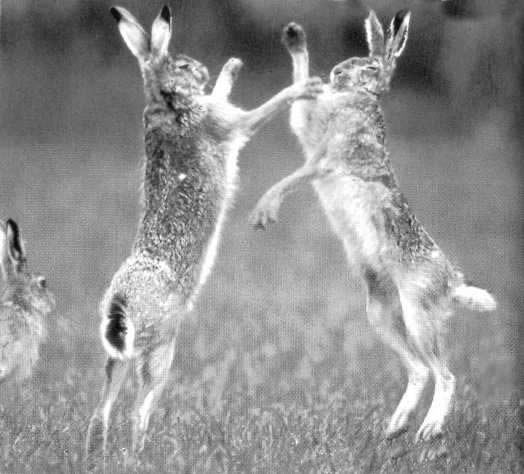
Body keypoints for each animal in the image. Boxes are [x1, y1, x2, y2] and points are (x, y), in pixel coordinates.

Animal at [85, 5, 323, 465]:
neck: (165, 100)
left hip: (118, 358)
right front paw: (305, 86)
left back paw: (97, 456)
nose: (201, 69)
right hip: (161, 349)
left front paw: (232, 67)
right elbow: (260, 110)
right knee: (138, 412)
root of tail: (120, 306)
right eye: (180, 65)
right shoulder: (228, 122)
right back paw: (141, 456)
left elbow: (225, 92)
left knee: (101, 412)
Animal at [250, 10, 497, 442]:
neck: (363, 98)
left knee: (444, 374)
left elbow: (295, 175)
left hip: (417, 313)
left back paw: (427, 431)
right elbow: (299, 114)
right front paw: (295, 41)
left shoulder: (326, 157)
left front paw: (264, 209)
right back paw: (394, 429)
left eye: (369, 67)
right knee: (419, 370)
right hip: (379, 312)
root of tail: (452, 284)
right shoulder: (312, 137)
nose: (335, 73)